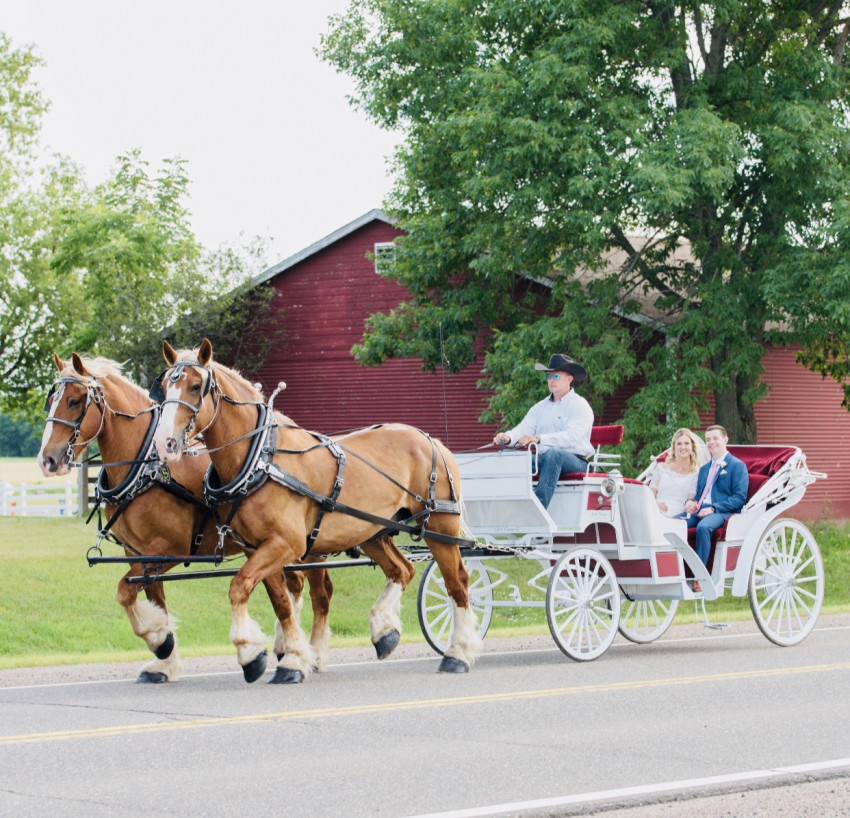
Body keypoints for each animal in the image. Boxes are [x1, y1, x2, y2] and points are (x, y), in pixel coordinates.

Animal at [37, 354, 334, 680]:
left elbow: (124, 591)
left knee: (320, 594)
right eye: (51, 400)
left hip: (311, 545)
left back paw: (312, 655)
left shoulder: (170, 549)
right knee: (295, 586)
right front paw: (163, 655)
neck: (147, 467)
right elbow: (151, 598)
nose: (46, 460)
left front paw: (162, 641)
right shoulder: (138, 553)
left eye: (75, 401)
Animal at [152, 338, 480, 684]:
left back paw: (458, 653)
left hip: (441, 527)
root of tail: (432, 440)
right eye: (165, 386)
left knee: (457, 583)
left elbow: (239, 586)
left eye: (195, 386)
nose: (164, 443)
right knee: (402, 570)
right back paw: (384, 630)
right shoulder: (258, 548)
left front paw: (256, 652)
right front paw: (289, 657)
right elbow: (279, 602)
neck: (260, 459)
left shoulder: (286, 544)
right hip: (373, 532)